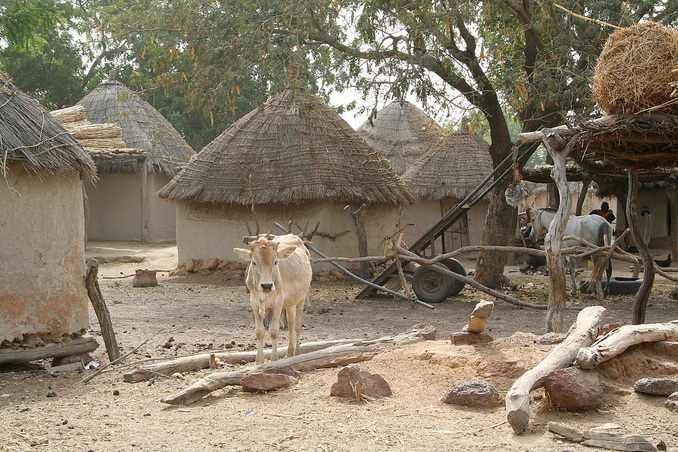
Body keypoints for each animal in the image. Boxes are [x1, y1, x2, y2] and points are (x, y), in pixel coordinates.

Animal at [235, 235, 312, 366]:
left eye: (275, 261)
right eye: (254, 262)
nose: (266, 285)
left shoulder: (278, 302)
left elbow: (274, 331)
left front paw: (274, 359)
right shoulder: (254, 302)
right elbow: (259, 331)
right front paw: (259, 361)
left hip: (301, 298)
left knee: (297, 325)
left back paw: (297, 352)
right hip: (289, 303)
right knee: (291, 324)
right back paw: (289, 353)